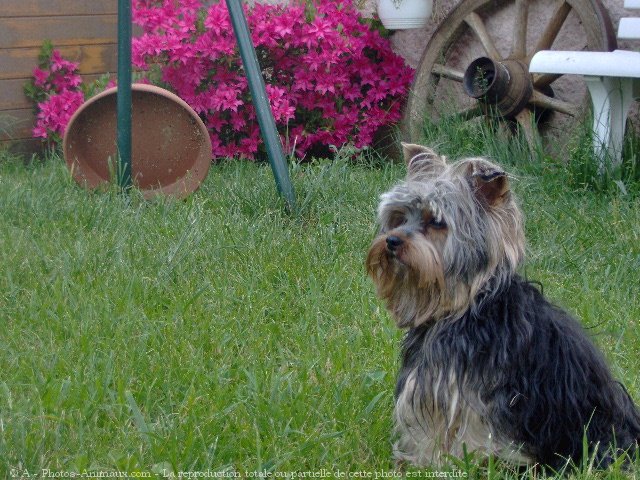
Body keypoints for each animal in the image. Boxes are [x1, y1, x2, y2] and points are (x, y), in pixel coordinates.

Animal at [364, 144, 640, 470]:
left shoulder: (478, 398)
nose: (392, 240)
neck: (462, 309)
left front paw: (465, 464)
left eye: (437, 222)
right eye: (400, 217)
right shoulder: (430, 383)